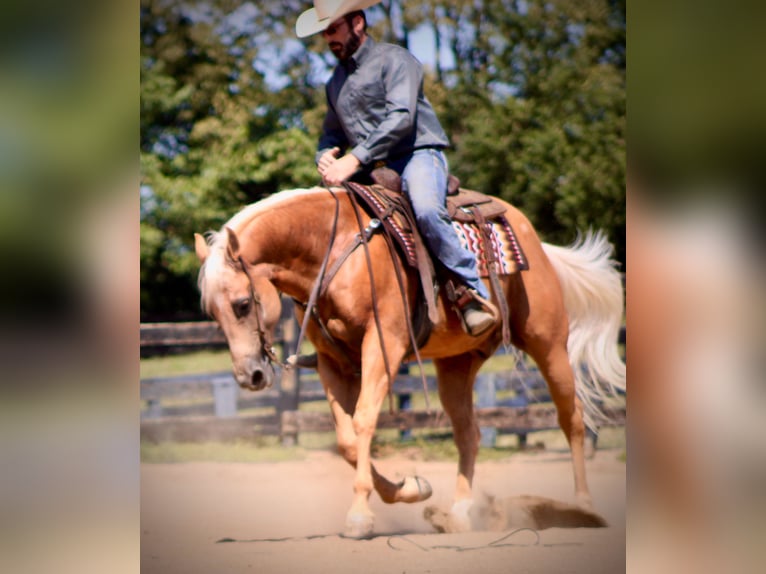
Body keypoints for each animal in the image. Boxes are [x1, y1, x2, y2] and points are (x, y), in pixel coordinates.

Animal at [194, 185, 625, 538]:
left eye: (242, 303)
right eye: (212, 312)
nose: (249, 376)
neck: (334, 251)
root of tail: (535, 240)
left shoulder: (383, 346)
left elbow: (364, 422)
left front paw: (359, 517)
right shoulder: (333, 363)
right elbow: (347, 441)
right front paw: (409, 488)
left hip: (548, 344)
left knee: (572, 418)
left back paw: (582, 508)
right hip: (456, 365)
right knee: (468, 434)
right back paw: (458, 515)